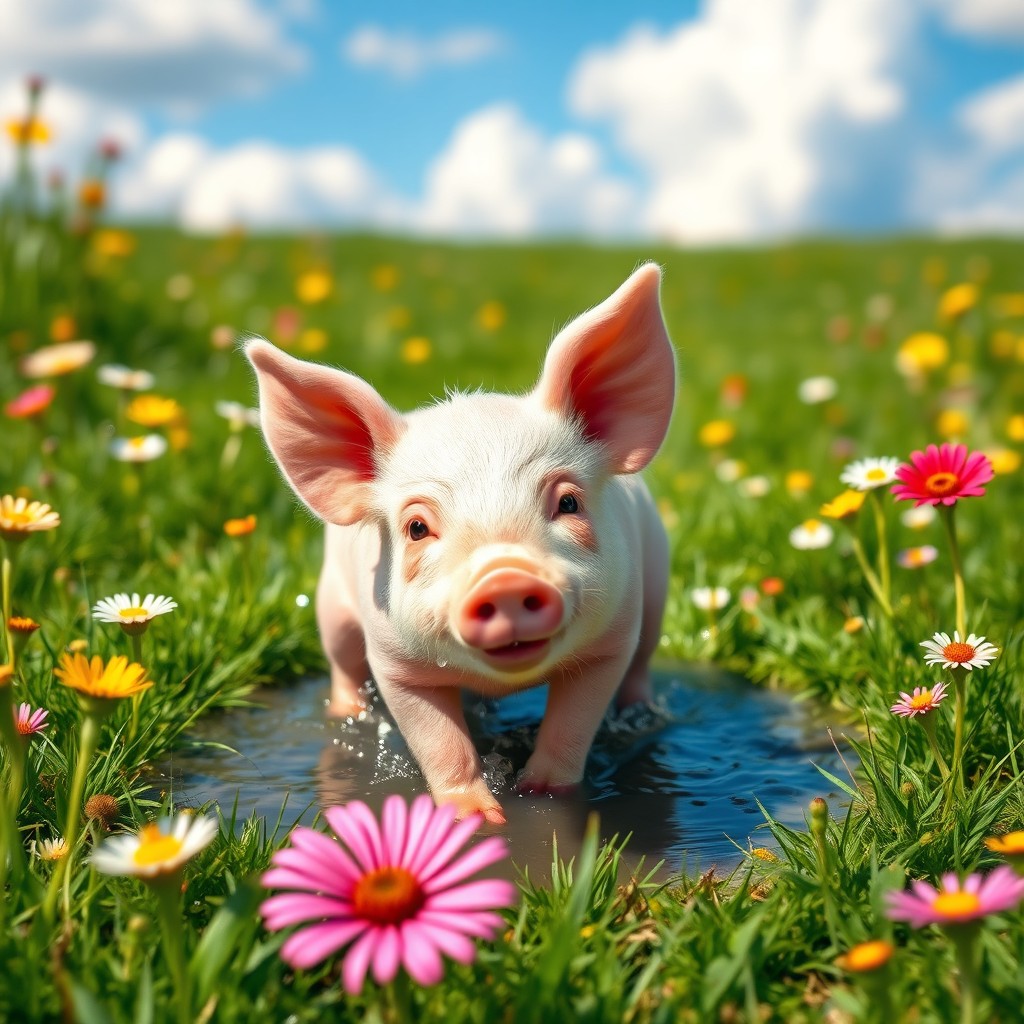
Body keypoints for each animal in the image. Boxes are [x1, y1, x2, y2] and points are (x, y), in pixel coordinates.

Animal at [246, 262, 675, 824]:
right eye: (416, 528)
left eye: (568, 503)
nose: (505, 576)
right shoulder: (395, 662)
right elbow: (439, 742)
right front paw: (475, 819)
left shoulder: (612, 639)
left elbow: (573, 725)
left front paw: (542, 796)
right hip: (330, 606)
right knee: (342, 667)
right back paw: (346, 714)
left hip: (657, 591)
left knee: (642, 666)